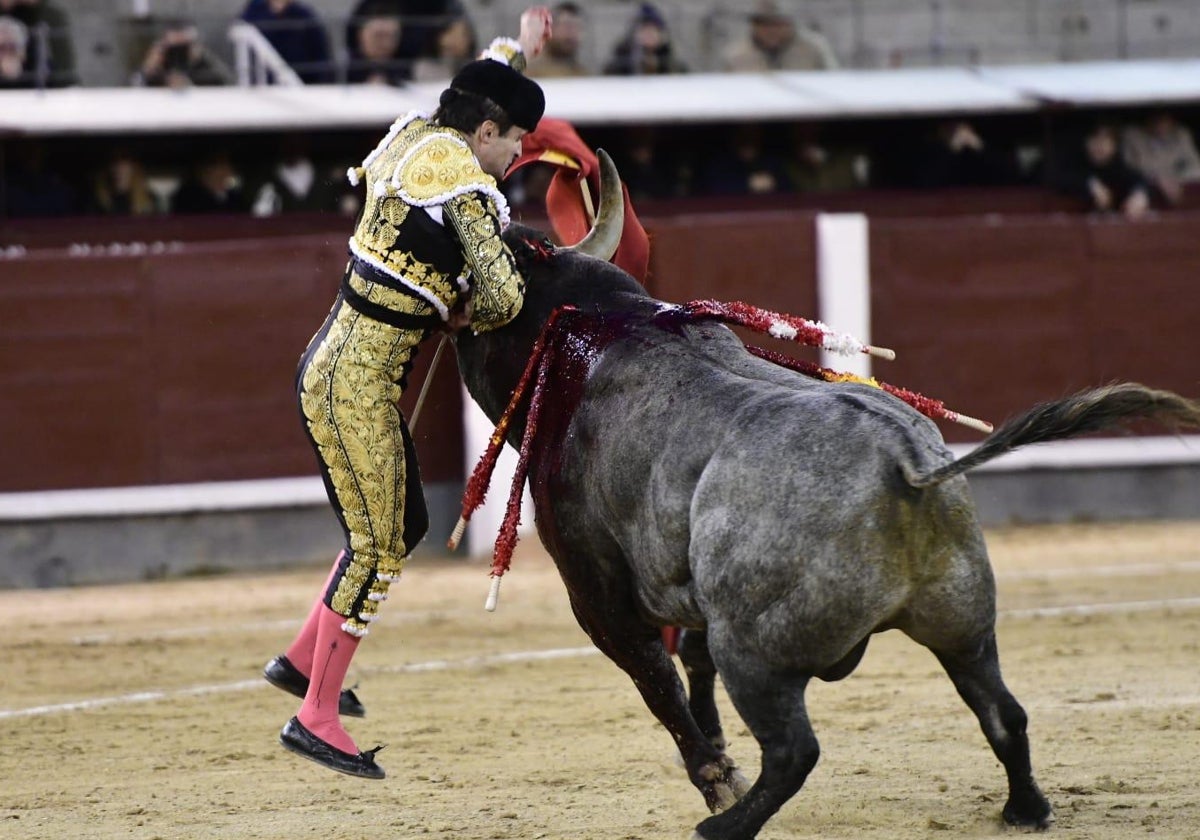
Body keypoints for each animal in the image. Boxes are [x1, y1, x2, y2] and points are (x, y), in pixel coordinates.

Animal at [451, 154, 1200, 835]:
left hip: (757, 653)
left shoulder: (597, 594)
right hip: (964, 623)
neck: (599, 324)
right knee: (1001, 710)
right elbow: (690, 662)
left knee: (794, 751)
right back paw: (1025, 809)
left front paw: (716, 780)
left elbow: (658, 681)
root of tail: (906, 464)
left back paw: (725, 825)